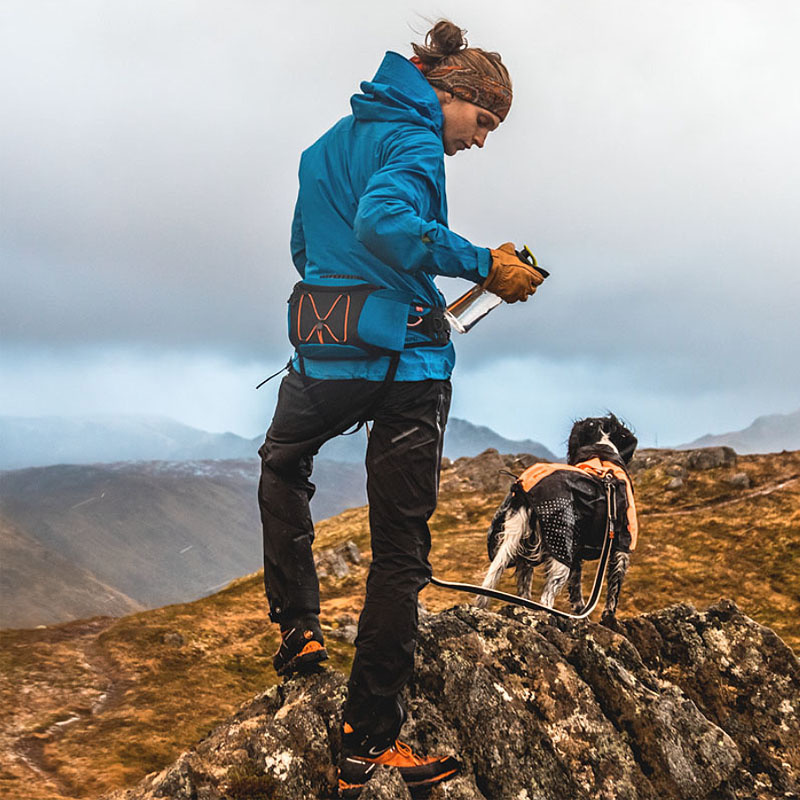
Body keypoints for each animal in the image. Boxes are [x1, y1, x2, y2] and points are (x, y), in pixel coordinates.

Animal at [476, 416, 636, 620]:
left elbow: (576, 593)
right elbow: (614, 589)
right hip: (560, 549)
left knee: (496, 585)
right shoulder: (622, 543)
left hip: (521, 545)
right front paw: (609, 620)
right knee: (546, 599)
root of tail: (524, 490)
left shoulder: (576, 552)